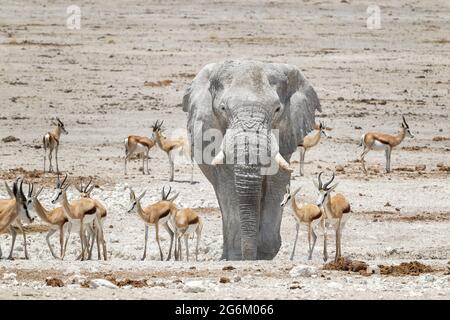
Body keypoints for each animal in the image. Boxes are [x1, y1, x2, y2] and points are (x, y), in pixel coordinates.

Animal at [183, 60, 320, 260]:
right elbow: (229, 189)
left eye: (277, 109)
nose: (250, 256)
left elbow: (276, 185)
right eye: (223, 108)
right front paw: (237, 256)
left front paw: (265, 253)